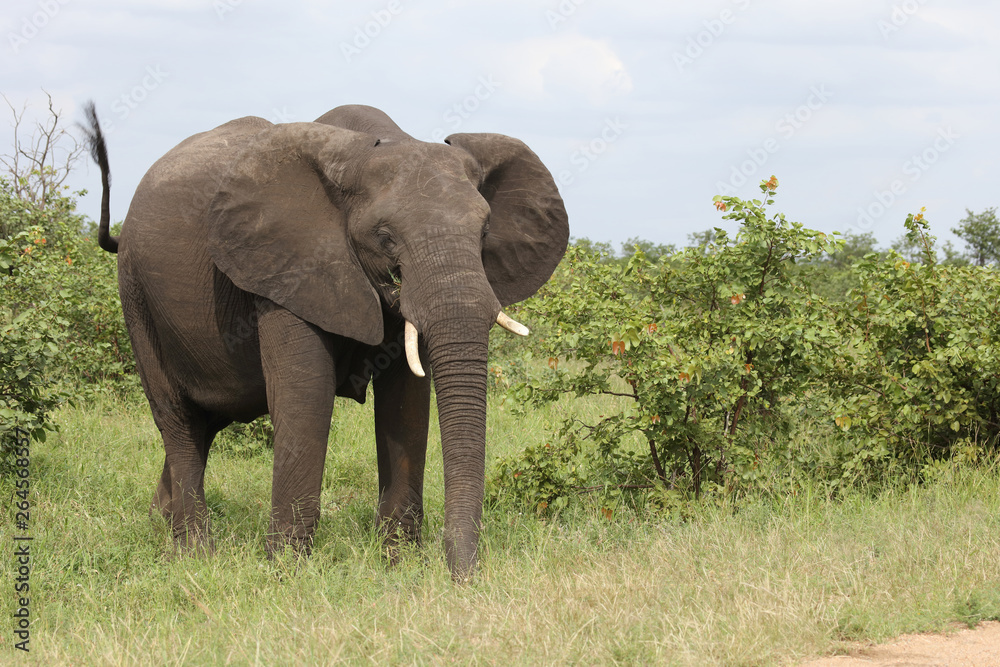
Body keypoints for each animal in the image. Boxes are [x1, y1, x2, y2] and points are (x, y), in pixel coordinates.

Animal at [82, 103, 568, 580]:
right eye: (385, 237)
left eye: (484, 233)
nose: (463, 579)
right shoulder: (288, 265)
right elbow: (305, 396)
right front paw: (286, 573)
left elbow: (406, 403)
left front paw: (396, 564)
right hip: (136, 295)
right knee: (178, 419)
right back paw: (195, 555)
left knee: (203, 425)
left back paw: (159, 525)